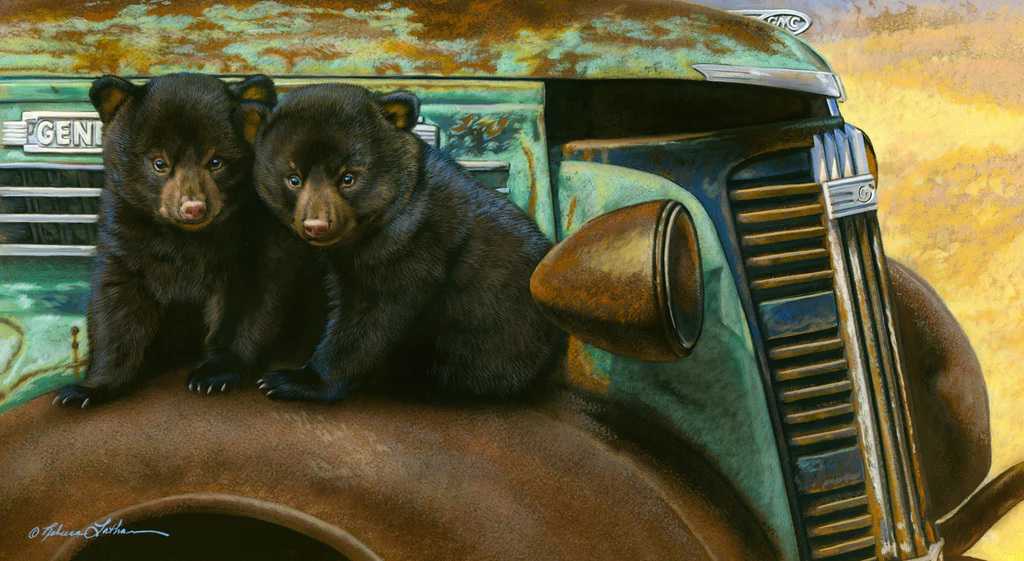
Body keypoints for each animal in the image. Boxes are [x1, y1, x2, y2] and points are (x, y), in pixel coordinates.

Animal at [55, 73, 323, 408]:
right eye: (159, 163)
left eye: (217, 161)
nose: (193, 208)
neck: (185, 237)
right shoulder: (125, 236)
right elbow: (116, 307)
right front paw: (85, 390)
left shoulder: (257, 239)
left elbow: (248, 300)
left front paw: (213, 374)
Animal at [234, 83, 565, 402]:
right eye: (293, 179)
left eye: (348, 178)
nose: (316, 226)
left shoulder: (413, 248)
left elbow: (373, 316)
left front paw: (290, 380)